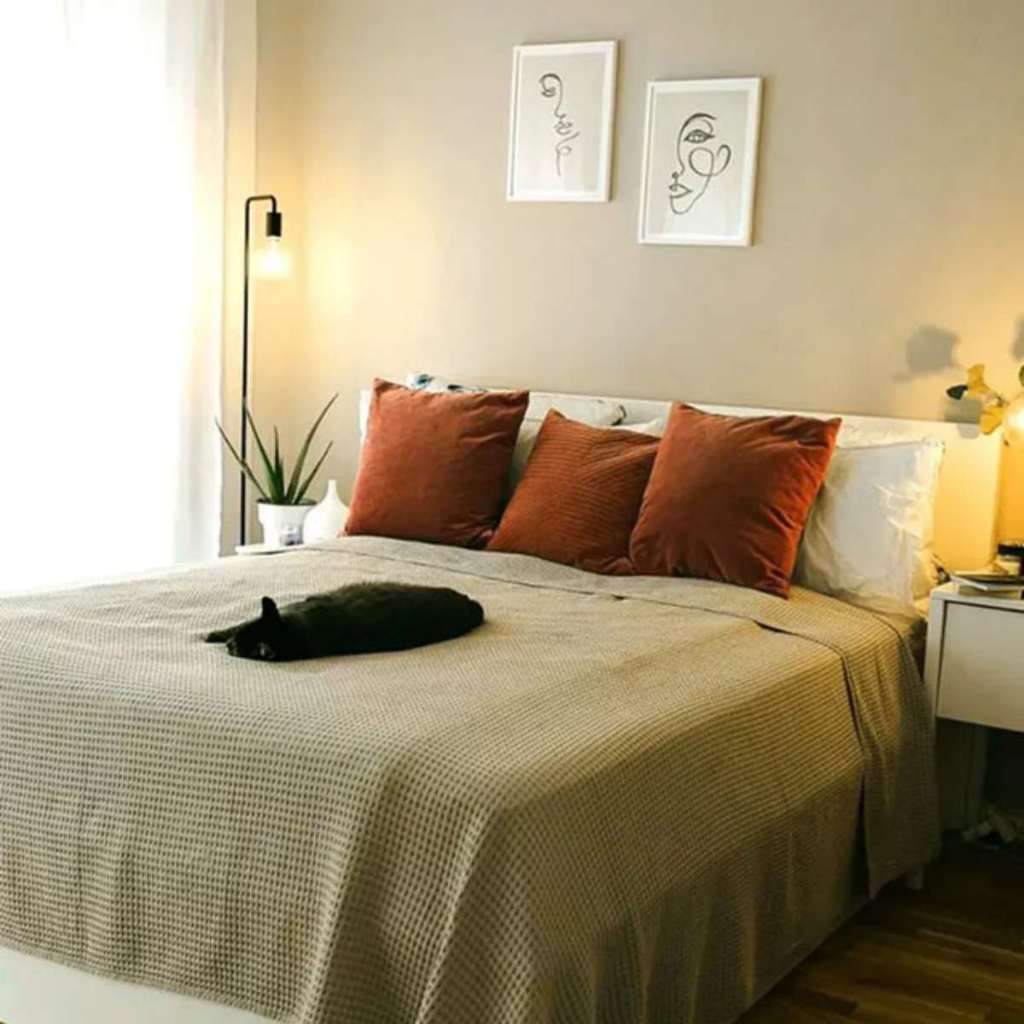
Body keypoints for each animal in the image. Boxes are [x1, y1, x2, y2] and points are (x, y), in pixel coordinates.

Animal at [206, 582, 484, 662]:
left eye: (239, 648)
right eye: (240, 637)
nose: (229, 645)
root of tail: (472, 608)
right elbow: (228, 626)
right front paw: (211, 635)